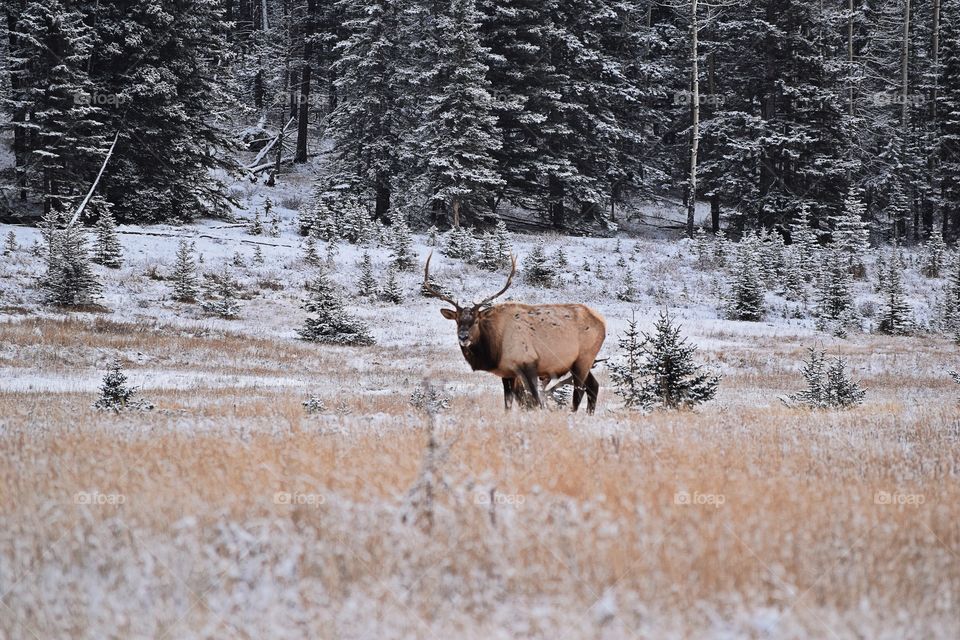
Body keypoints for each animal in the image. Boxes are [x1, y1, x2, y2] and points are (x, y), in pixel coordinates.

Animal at [423, 251, 606, 413]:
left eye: (476, 321)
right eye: (457, 321)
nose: (463, 337)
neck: (494, 349)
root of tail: (603, 322)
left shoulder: (528, 364)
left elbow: (534, 402)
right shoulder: (507, 373)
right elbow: (509, 404)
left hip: (583, 358)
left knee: (579, 390)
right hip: (580, 362)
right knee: (594, 386)